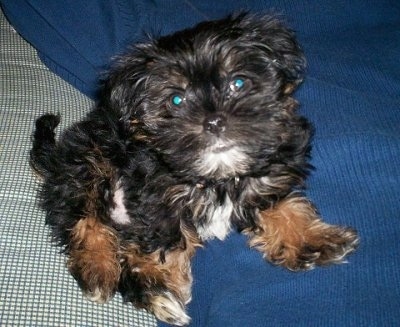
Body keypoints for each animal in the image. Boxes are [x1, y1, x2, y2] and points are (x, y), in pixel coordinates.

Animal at [29, 12, 358, 326]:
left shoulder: (269, 170)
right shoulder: (153, 197)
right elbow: (163, 236)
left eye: (238, 83)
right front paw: (159, 280)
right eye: (176, 99)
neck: (218, 174)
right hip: (90, 159)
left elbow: (281, 202)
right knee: (84, 218)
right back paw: (102, 270)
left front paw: (310, 240)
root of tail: (56, 159)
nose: (213, 121)